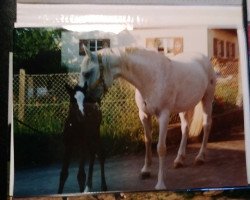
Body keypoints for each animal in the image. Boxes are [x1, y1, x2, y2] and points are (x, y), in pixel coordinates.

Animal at [77, 46, 216, 190]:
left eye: (86, 73)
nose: (81, 100)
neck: (150, 78)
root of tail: (204, 58)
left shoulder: (164, 115)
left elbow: (161, 148)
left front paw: (160, 184)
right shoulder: (143, 115)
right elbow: (147, 141)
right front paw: (146, 170)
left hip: (207, 99)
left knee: (206, 125)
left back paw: (200, 157)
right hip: (184, 106)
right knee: (185, 128)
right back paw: (179, 159)